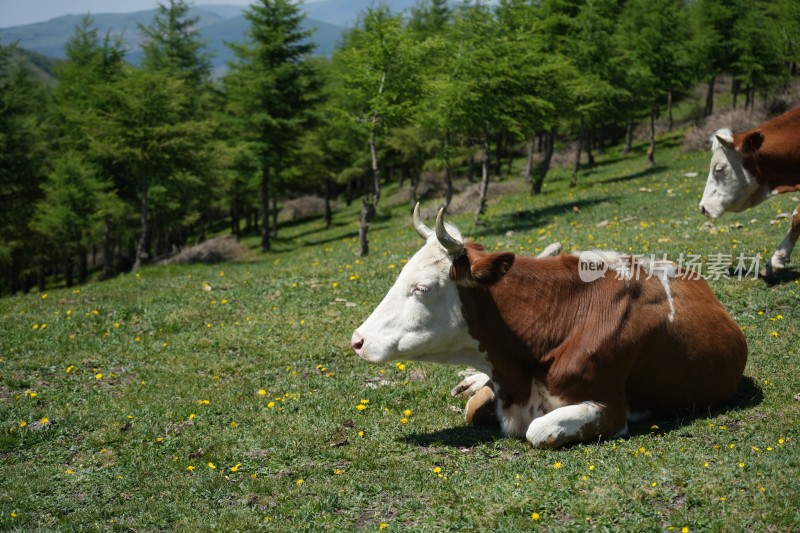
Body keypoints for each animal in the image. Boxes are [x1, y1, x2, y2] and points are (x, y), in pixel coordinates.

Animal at [354, 206, 748, 446]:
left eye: (421, 287)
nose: (358, 339)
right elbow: (475, 407)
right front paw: (473, 385)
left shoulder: (610, 406)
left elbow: (539, 430)